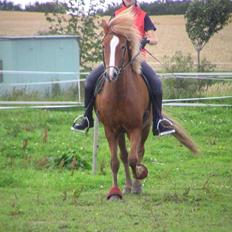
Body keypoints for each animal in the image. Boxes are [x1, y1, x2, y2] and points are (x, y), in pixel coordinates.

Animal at [94, 10, 198, 199]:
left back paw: (135, 185)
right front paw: (114, 192)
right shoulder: (110, 130)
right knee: (124, 155)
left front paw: (141, 175)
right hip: (121, 131)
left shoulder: (135, 127)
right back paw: (128, 186)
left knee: (138, 152)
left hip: (145, 126)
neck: (119, 94)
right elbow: (115, 161)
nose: (111, 75)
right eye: (103, 46)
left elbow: (135, 158)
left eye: (122, 47)